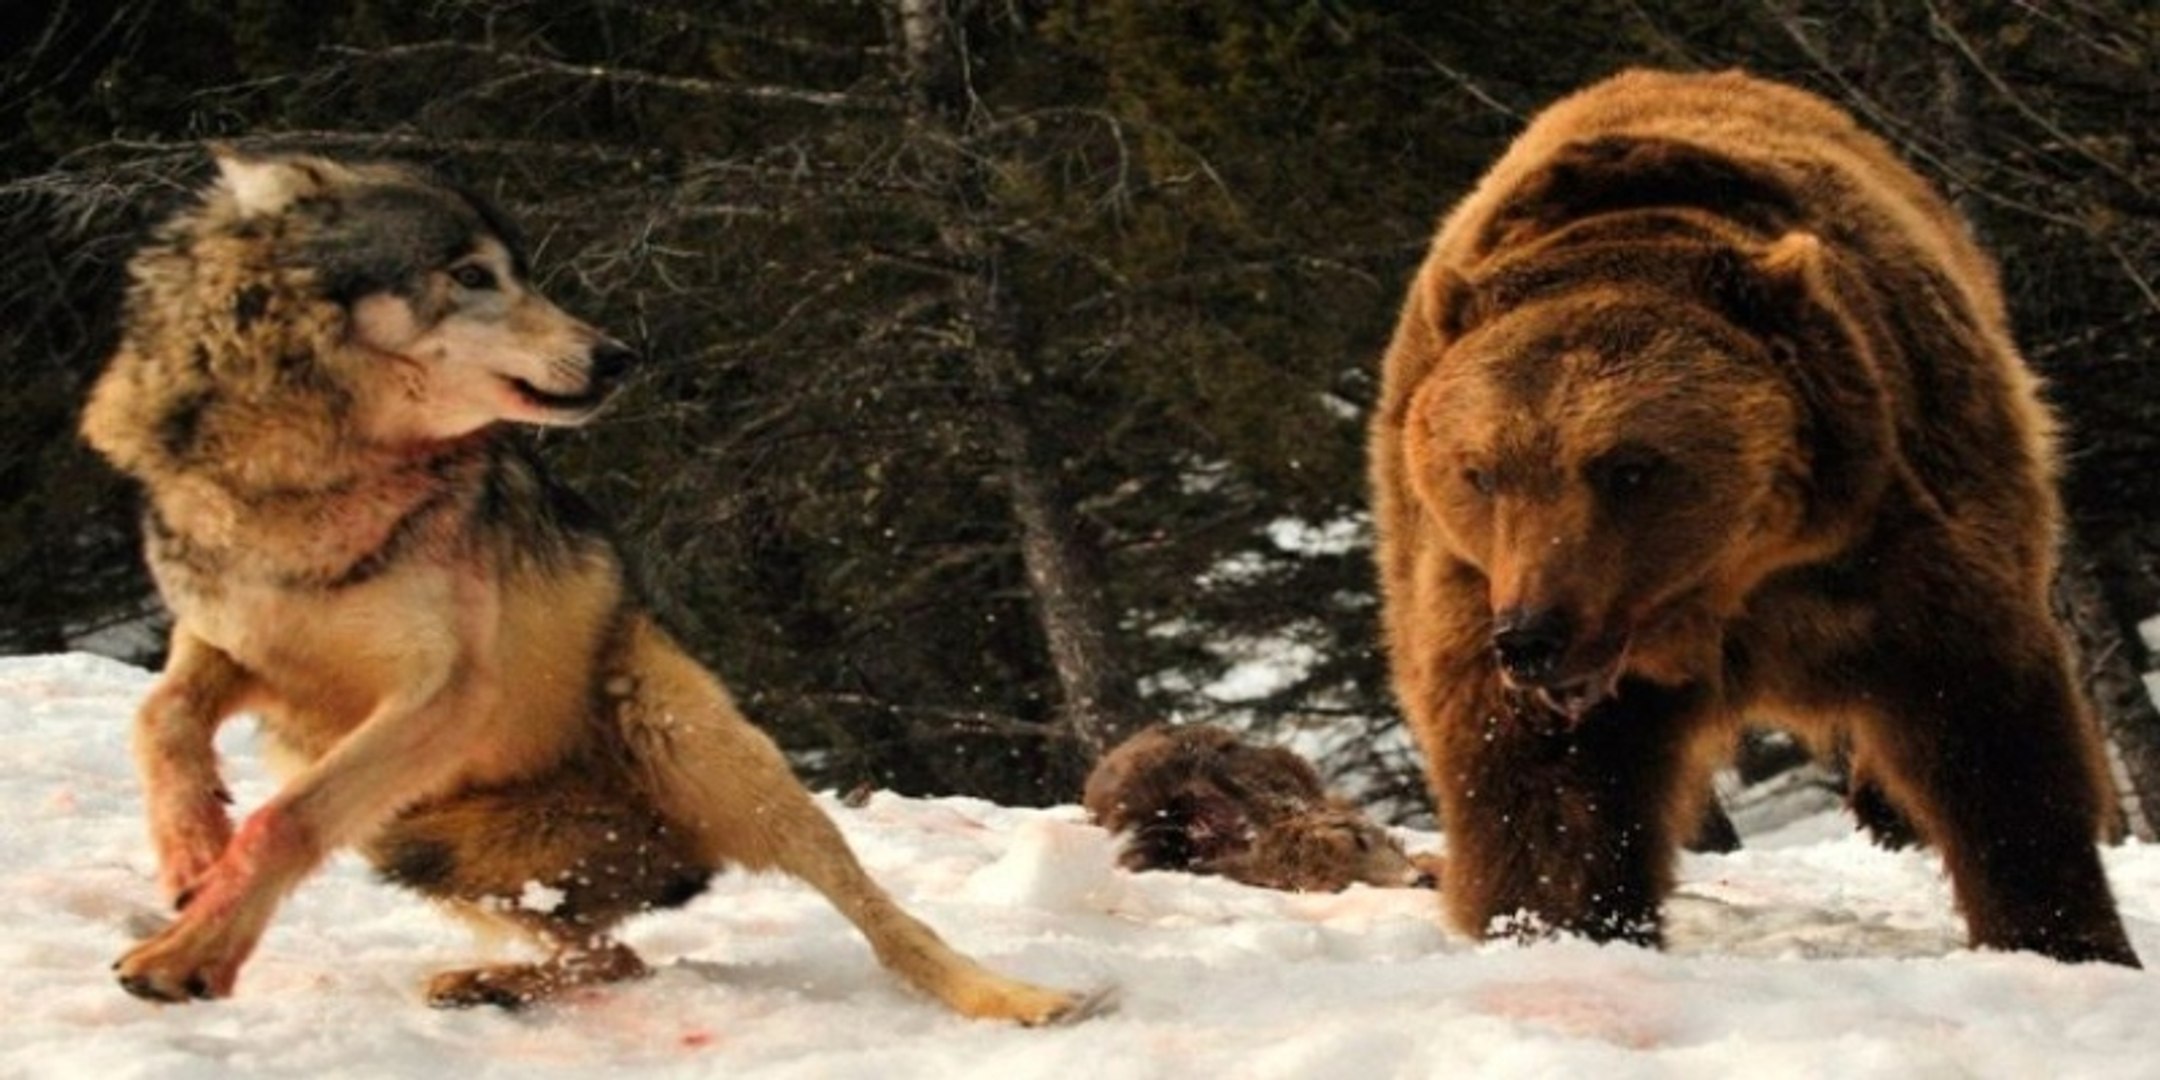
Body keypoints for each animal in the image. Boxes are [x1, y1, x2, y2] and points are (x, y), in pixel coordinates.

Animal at [79, 148, 1094, 1018]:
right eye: (472, 275)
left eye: (515, 273)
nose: (618, 356)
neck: (306, 478)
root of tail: (667, 852)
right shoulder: (231, 642)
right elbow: (160, 719)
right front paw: (192, 855)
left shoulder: (449, 688)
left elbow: (285, 821)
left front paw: (184, 956)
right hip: (418, 837)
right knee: (616, 955)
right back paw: (483, 982)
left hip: (695, 744)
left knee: (879, 920)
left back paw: (1019, 999)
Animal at [1368, 68, 2138, 965]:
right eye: (1480, 472)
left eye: (1629, 467)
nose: (1532, 636)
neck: (1726, 582)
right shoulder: (1472, 582)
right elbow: (1544, 787)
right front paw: (1559, 925)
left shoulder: (1903, 533)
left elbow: (1989, 732)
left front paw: (2063, 937)